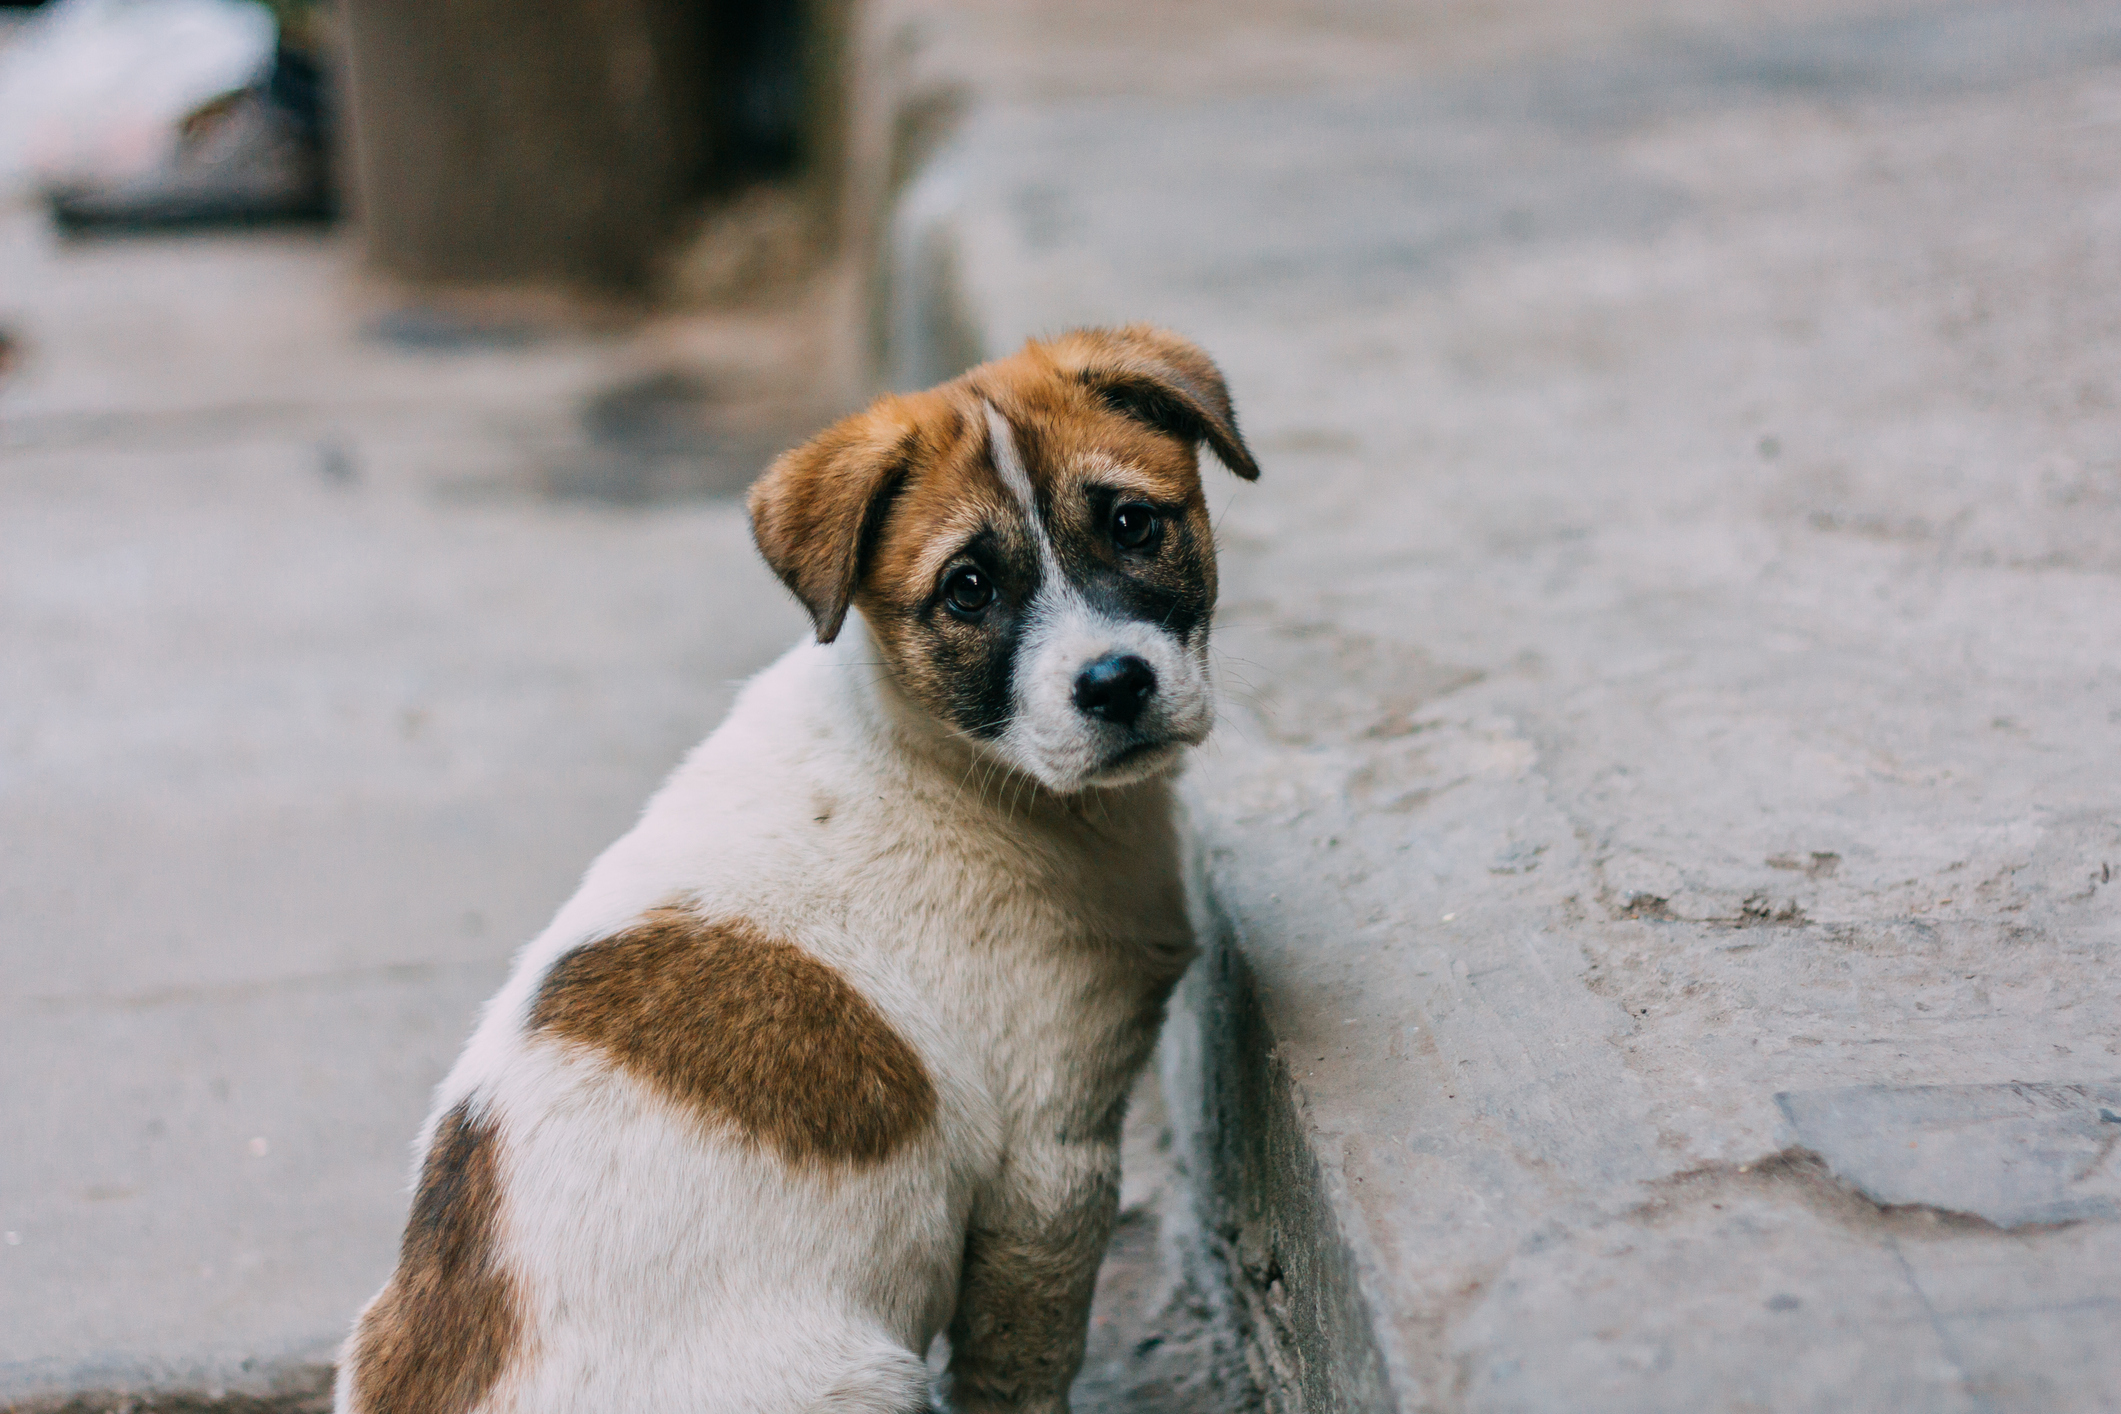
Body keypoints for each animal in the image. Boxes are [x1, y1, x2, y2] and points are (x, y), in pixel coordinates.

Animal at [337, 326, 1247, 1414]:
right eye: (968, 589)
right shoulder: (1049, 1162)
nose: (1114, 684)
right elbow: (1021, 1367)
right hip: (864, 1376)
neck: (952, 761)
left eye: (1131, 523)